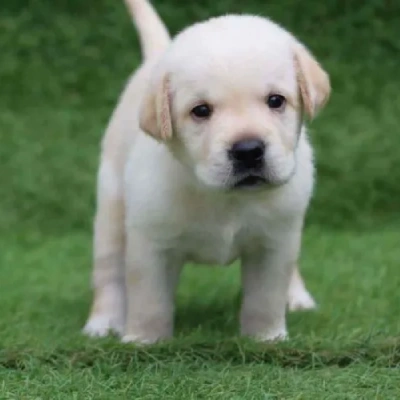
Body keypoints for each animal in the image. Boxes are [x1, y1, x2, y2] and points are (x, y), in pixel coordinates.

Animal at [83, 0, 330, 344]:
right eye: (201, 110)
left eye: (276, 100)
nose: (248, 150)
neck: (222, 197)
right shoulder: (151, 243)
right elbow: (149, 300)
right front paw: (144, 342)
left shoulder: (274, 243)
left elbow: (265, 298)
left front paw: (266, 339)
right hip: (111, 208)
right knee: (109, 272)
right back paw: (103, 322)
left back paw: (296, 297)